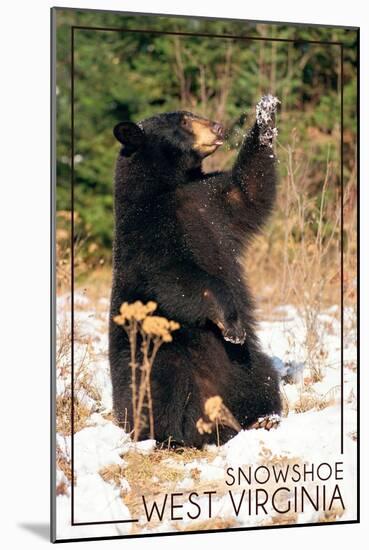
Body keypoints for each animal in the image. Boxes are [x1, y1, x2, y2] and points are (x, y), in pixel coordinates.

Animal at [108, 96, 280, 448]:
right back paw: (174, 436)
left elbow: (248, 189)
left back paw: (261, 419)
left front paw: (266, 112)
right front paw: (232, 324)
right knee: (161, 386)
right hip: (155, 351)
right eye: (184, 122)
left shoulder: (211, 199)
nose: (218, 126)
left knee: (263, 379)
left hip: (247, 364)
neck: (172, 185)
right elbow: (178, 277)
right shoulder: (148, 233)